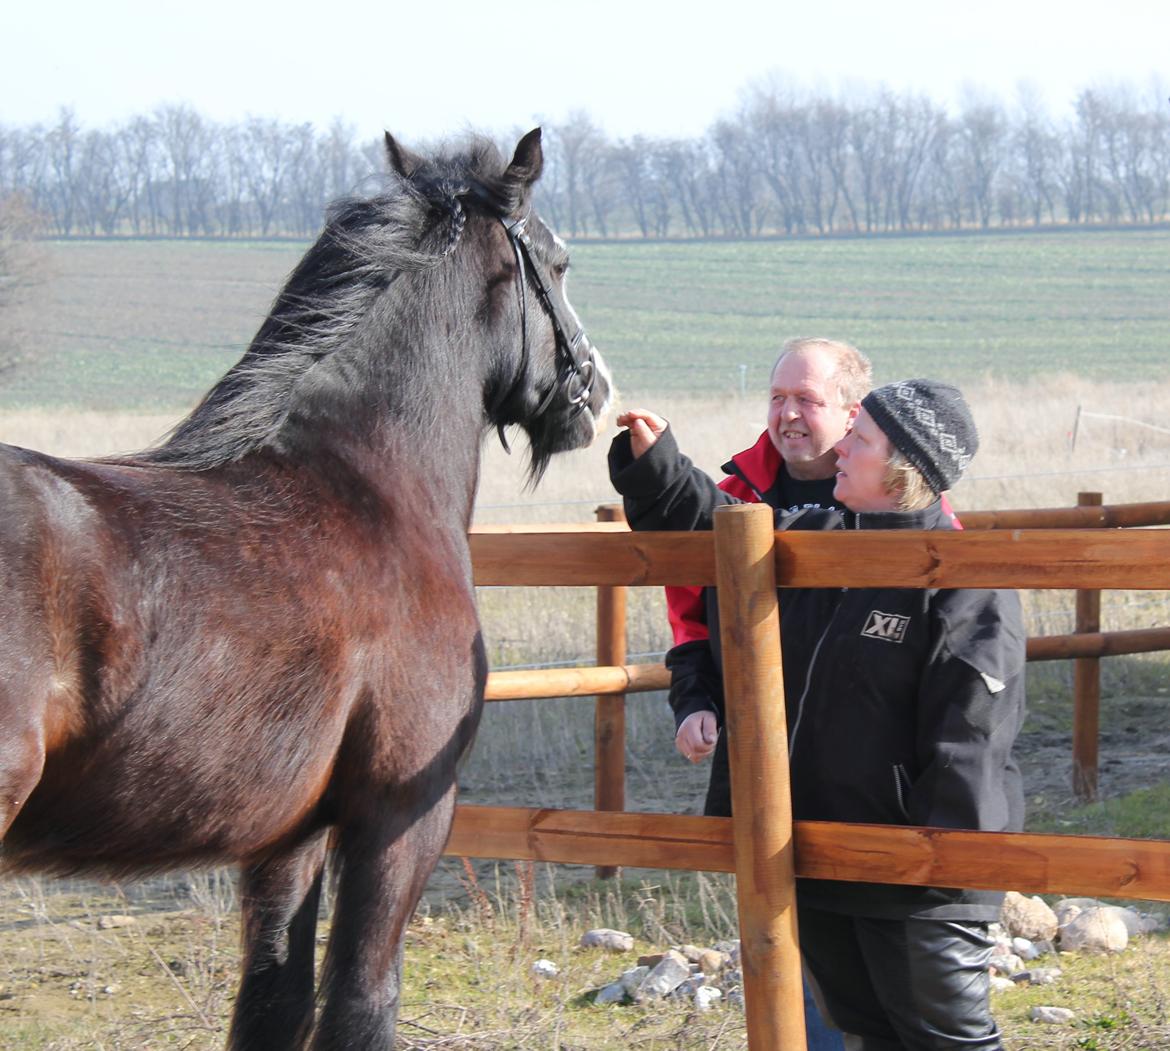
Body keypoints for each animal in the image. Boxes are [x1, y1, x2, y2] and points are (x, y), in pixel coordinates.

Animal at [0, 126, 617, 1043]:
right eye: (560, 260)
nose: (595, 390)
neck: (368, 480)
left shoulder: (286, 838)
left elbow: (272, 1001)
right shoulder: (398, 820)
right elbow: (361, 1001)